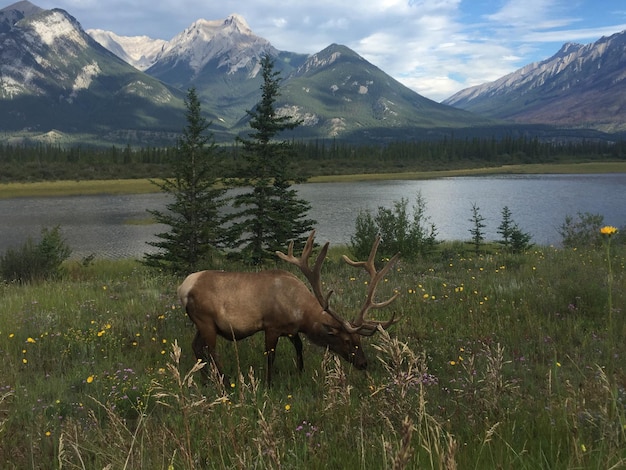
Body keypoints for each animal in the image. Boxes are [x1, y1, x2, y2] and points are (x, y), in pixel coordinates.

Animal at [176, 229, 400, 384]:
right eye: (346, 340)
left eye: (359, 340)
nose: (364, 363)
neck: (301, 314)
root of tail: (182, 289)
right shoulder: (271, 326)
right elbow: (270, 356)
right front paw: (268, 384)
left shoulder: (292, 330)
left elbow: (299, 348)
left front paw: (300, 373)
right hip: (205, 320)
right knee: (212, 351)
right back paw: (225, 382)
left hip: (201, 323)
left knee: (197, 347)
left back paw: (206, 381)